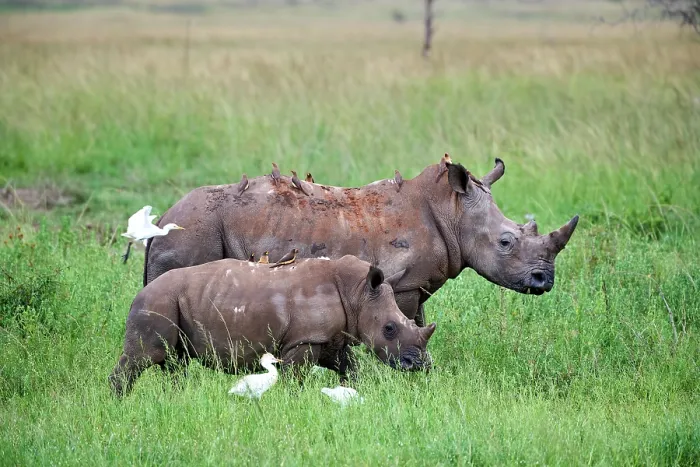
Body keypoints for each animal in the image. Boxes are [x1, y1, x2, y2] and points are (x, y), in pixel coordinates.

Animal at [109, 255, 436, 397]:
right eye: (390, 329)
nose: (420, 365)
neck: (358, 293)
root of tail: (140, 292)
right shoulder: (304, 340)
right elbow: (294, 379)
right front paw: (292, 403)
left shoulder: (327, 338)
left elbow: (350, 368)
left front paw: (354, 391)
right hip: (157, 302)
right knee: (145, 357)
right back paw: (120, 403)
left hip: (172, 301)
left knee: (175, 361)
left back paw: (176, 400)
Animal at [143, 158, 579, 326]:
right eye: (506, 243)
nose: (546, 281)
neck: (452, 212)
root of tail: (163, 217)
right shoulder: (403, 282)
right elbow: (403, 318)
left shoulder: (416, 283)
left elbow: (419, 321)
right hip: (196, 229)